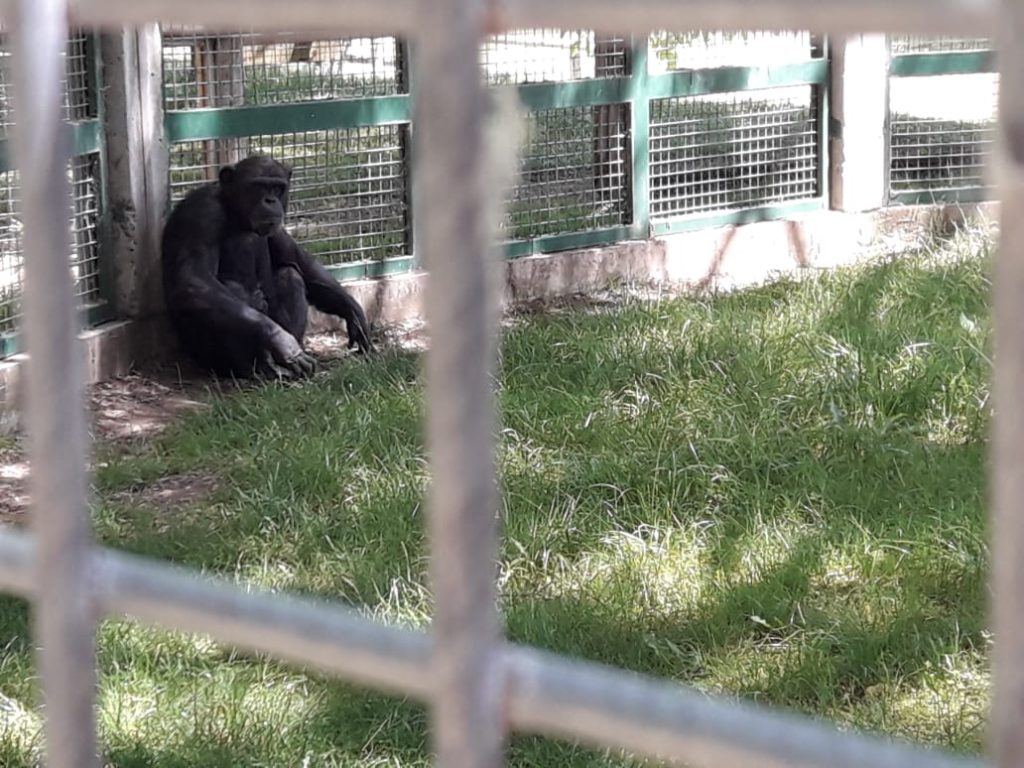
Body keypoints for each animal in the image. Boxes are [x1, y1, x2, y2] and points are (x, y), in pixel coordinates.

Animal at [165, 154, 374, 378]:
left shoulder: (277, 225)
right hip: (211, 357)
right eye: (259, 187)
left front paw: (354, 314)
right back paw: (263, 365)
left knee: (289, 274)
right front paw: (281, 341)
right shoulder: (202, 214)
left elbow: (299, 260)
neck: (233, 209)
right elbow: (195, 280)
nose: (270, 200)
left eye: (277, 188)